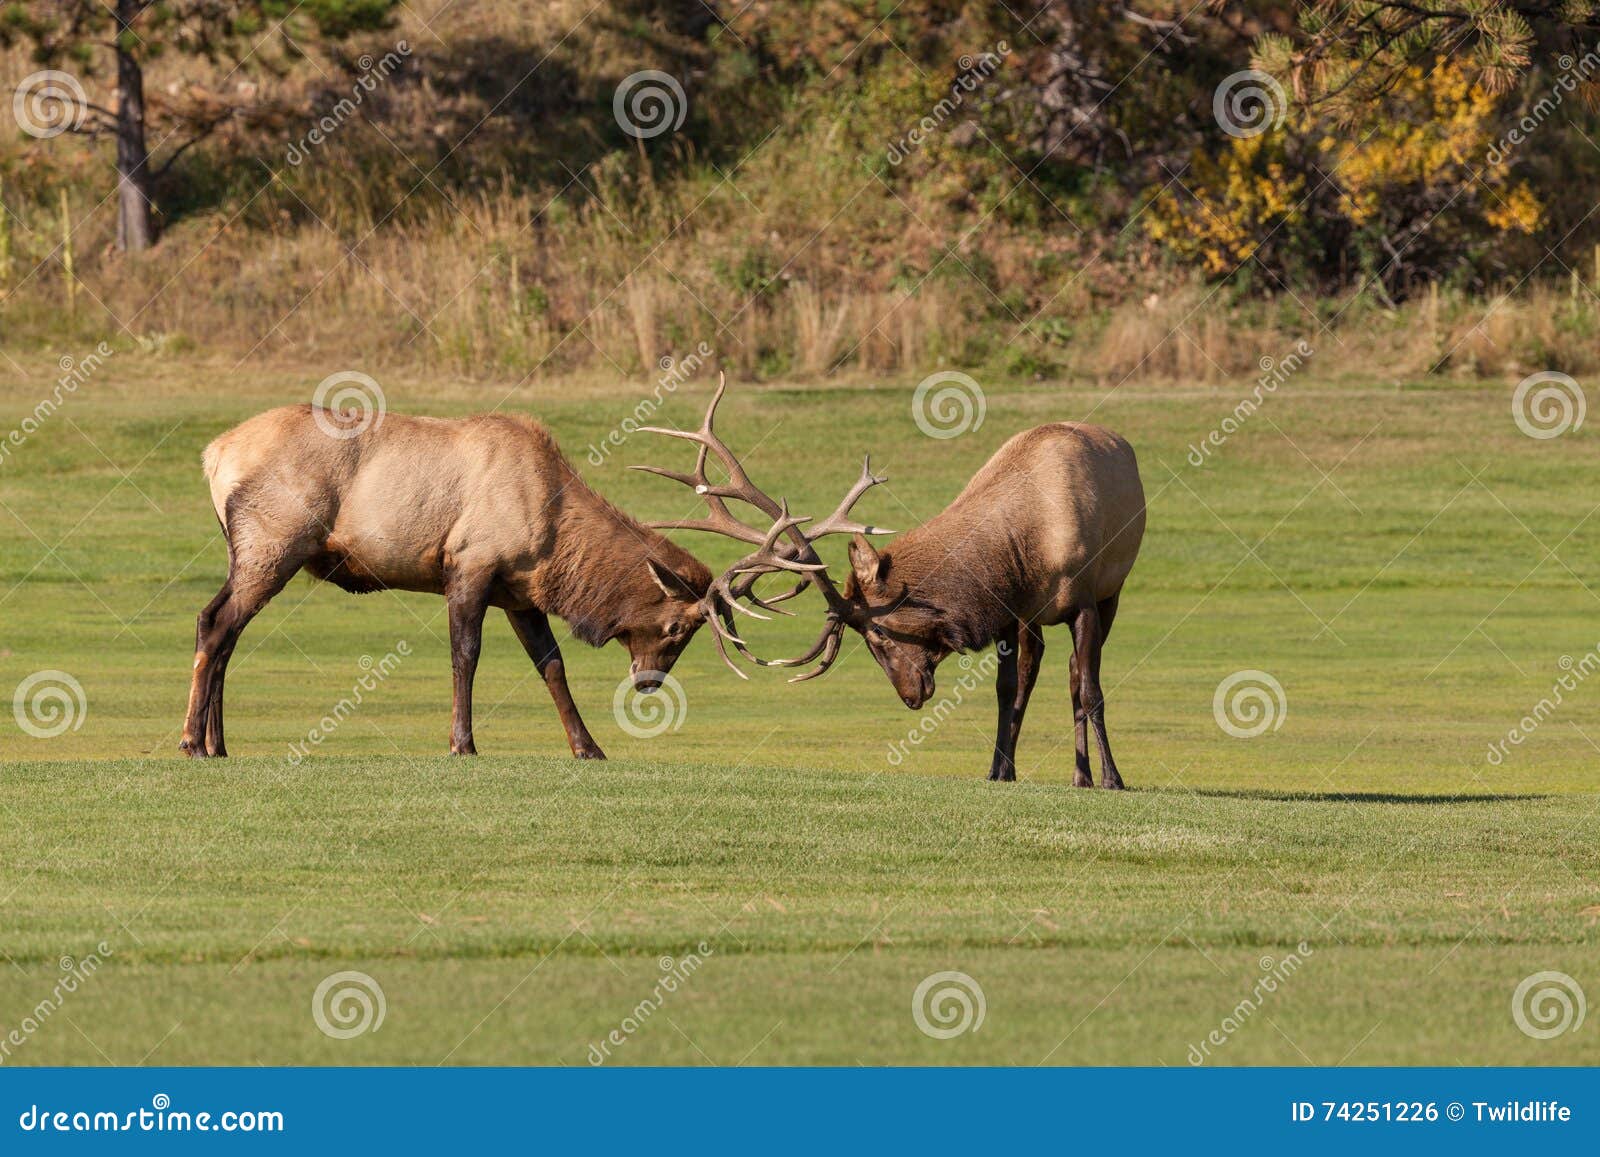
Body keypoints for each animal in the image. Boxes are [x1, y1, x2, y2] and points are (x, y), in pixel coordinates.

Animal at [180, 403, 715, 760]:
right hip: (273, 544)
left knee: (226, 631)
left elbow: (552, 665)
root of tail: (213, 454)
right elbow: (466, 655)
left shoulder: (520, 594)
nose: (649, 682)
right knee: (214, 621)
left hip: (246, 551)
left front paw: (588, 747)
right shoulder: (469, 563)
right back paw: (192, 743)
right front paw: (463, 743)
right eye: (677, 628)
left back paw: (218, 744)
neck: (554, 533)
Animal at [636, 379, 1146, 788]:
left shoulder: (1085, 599)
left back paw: (1087, 775)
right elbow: (1007, 691)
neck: (1025, 549)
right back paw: (1059, 771)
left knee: (1077, 677)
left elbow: (1091, 691)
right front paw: (998, 771)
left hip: (1112, 593)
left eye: (878, 631)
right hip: (1033, 620)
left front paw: (1114, 778)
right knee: (1034, 674)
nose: (910, 695)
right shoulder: (1007, 611)